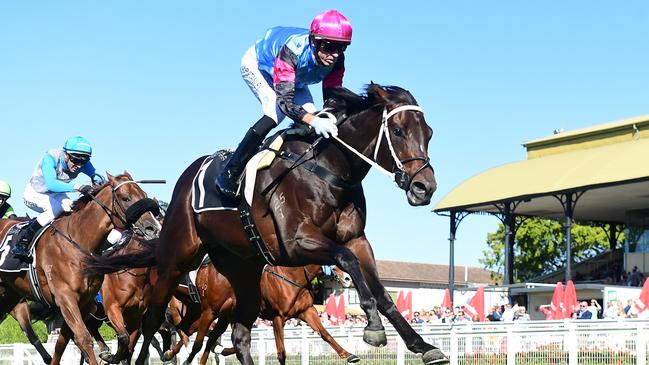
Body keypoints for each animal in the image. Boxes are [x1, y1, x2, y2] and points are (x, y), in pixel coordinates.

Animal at [0, 171, 161, 364]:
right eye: (126, 198)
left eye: (144, 195)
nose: (153, 228)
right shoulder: (69, 298)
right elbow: (84, 338)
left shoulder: (89, 302)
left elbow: (65, 342)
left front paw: (111, 355)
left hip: (10, 295)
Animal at [160, 262, 356, 364]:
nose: (348, 278)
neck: (292, 276)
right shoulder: (278, 317)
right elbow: (281, 352)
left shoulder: (306, 311)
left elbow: (325, 334)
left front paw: (348, 355)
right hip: (209, 311)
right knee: (191, 334)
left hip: (221, 315)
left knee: (203, 338)